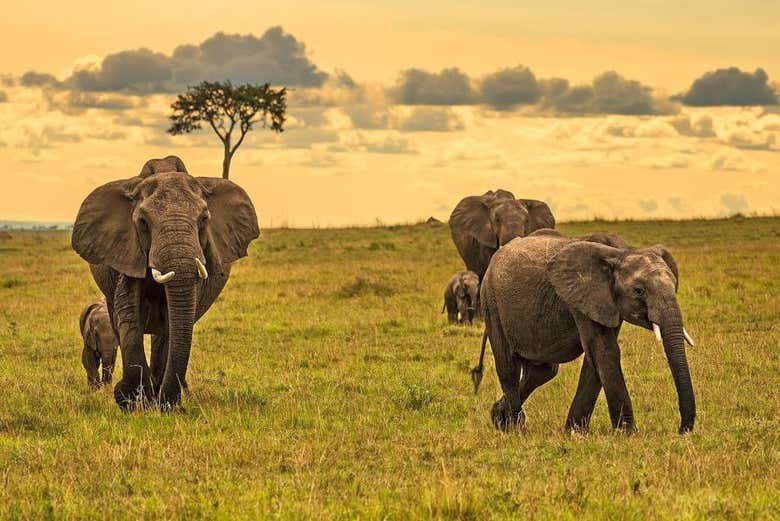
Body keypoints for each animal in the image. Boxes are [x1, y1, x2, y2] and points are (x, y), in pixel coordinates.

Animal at [71, 155, 259, 410]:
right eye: (142, 222)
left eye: (204, 220)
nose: (169, 403)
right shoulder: (128, 250)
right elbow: (128, 312)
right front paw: (130, 401)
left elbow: (175, 321)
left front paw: (160, 404)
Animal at [471, 229, 696, 435]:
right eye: (639, 291)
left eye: (675, 285)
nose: (682, 430)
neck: (622, 252)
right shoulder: (582, 297)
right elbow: (605, 352)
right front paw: (627, 434)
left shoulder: (605, 303)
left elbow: (596, 357)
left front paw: (575, 431)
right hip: (491, 302)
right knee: (508, 366)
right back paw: (515, 429)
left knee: (542, 372)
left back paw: (499, 418)